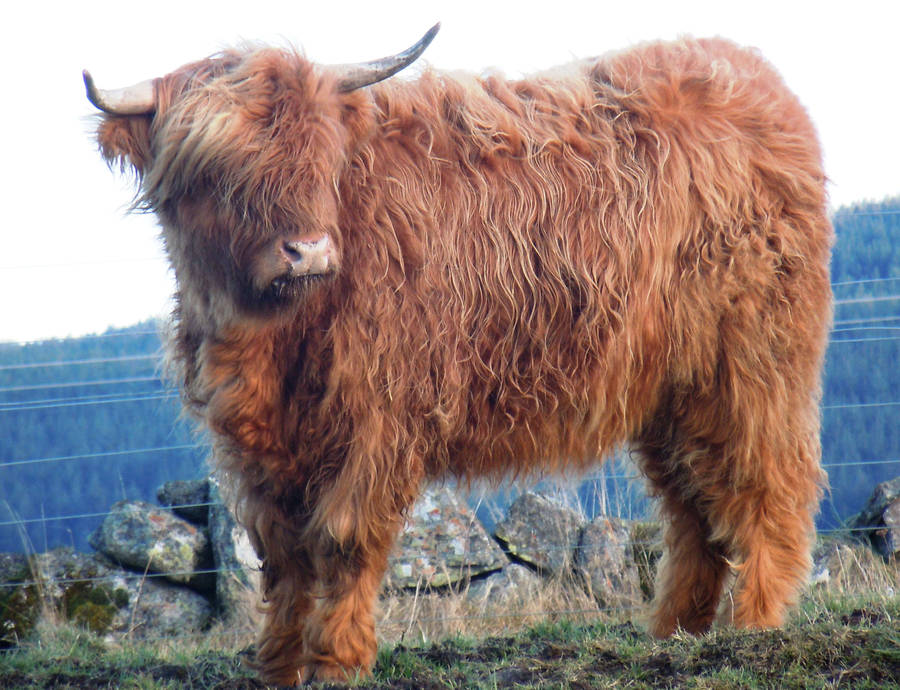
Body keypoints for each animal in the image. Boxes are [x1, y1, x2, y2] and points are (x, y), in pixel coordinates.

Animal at [85, 25, 832, 685]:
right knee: (694, 506)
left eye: (321, 154)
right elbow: (283, 555)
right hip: (669, 391)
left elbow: (344, 540)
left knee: (767, 483)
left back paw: (755, 622)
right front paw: (277, 665)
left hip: (753, 361)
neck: (270, 340)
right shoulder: (259, 447)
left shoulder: (380, 418)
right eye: (215, 168)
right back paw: (675, 630)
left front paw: (336, 662)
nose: (309, 251)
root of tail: (754, 78)